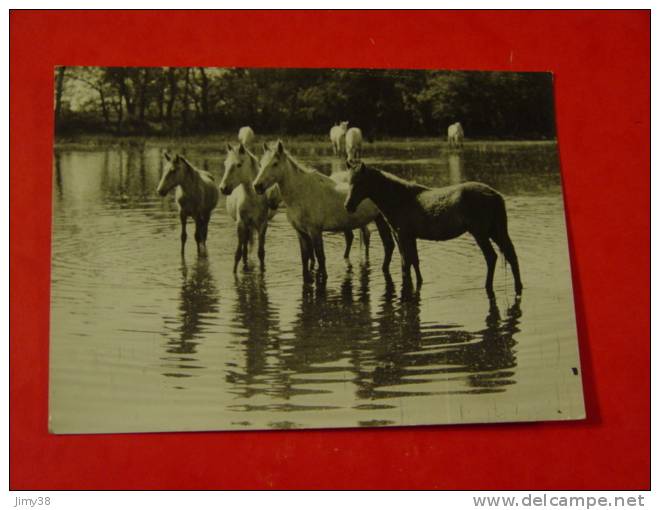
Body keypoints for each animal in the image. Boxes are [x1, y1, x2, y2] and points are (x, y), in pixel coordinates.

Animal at [253, 140, 392, 282]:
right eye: (261, 164)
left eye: (275, 163)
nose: (257, 186)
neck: (301, 193)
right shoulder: (301, 232)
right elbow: (305, 258)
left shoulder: (315, 231)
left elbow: (320, 257)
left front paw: (322, 277)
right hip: (379, 220)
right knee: (387, 245)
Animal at [342, 162, 524, 298]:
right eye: (349, 182)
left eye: (360, 183)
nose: (348, 206)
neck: (400, 199)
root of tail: (494, 194)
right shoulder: (408, 237)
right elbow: (414, 261)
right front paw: (419, 282)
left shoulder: (402, 235)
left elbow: (405, 264)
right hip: (496, 231)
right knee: (511, 255)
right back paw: (518, 287)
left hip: (480, 233)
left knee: (491, 257)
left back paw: (488, 286)